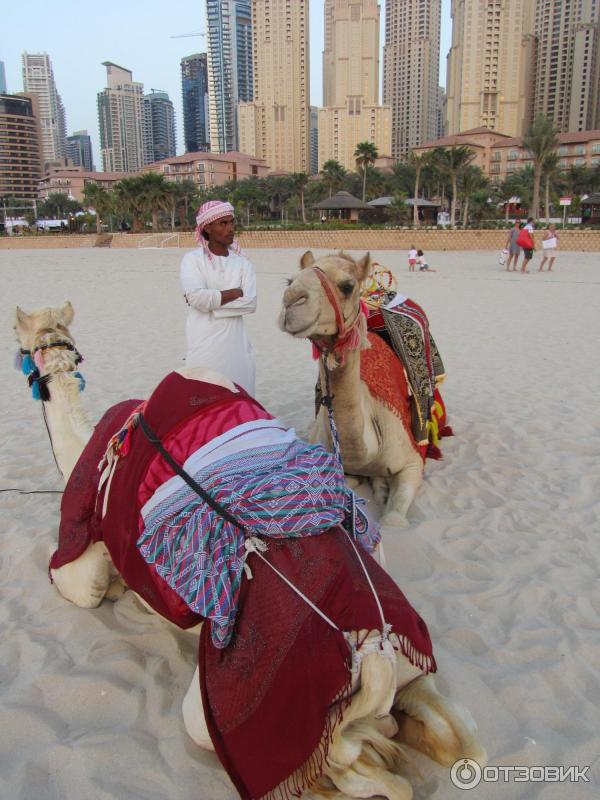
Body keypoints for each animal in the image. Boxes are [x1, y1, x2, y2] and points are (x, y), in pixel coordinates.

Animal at [14, 302, 486, 800]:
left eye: (20, 347)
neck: (91, 449)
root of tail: (372, 653)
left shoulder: (81, 564)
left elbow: (84, 587)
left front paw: (126, 596)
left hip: (223, 720)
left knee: (367, 772)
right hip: (412, 664)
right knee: (456, 738)